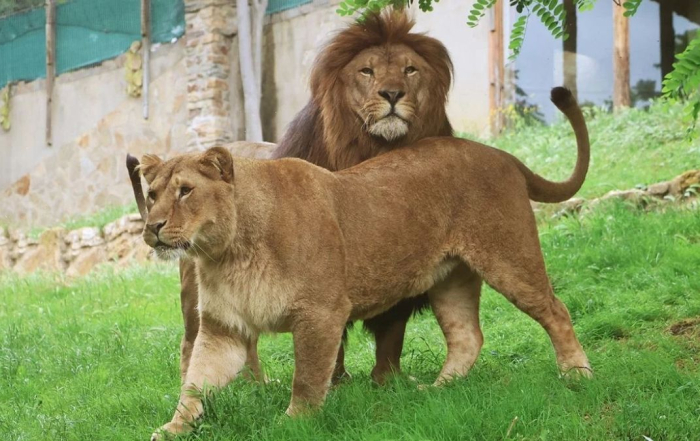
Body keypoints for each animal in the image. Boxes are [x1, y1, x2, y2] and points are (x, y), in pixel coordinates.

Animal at [129, 10, 455, 385]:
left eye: (409, 69)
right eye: (367, 71)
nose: (392, 93)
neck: (375, 150)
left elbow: (391, 333)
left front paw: (387, 383)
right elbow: (330, 341)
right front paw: (335, 383)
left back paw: (255, 386)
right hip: (197, 290)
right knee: (194, 340)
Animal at [143, 87, 592, 439]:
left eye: (185, 191)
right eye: (151, 194)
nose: (152, 226)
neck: (227, 252)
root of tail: (503, 154)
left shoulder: (321, 313)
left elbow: (308, 378)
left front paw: (293, 423)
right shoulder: (225, 330)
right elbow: (195, 383)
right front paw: (173, 428)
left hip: (508, 256)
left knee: (555, 309)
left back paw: (577, 374)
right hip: (451, 279)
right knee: (468, 336)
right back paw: (435, 391)